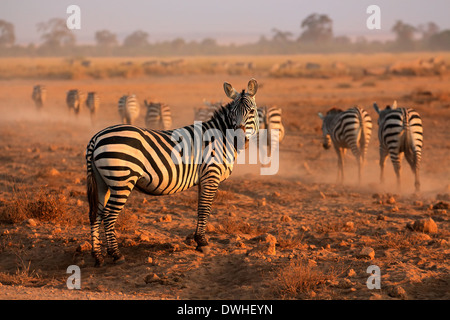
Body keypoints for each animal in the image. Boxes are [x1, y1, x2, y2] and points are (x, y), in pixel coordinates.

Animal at [85, 79, 258, 266]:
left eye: (252, 111)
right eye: (233, 113)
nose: (239, 139)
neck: (220, 138)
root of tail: (96, 137)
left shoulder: (204, 177)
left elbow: (200, 208)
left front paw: (198, 241)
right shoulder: (211, 175)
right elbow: (205, 208)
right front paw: (203, 242)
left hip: (102, 181)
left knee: (96, 214)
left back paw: (97, 256)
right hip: (122, 180)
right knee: (108, 215)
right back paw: (116, 255)